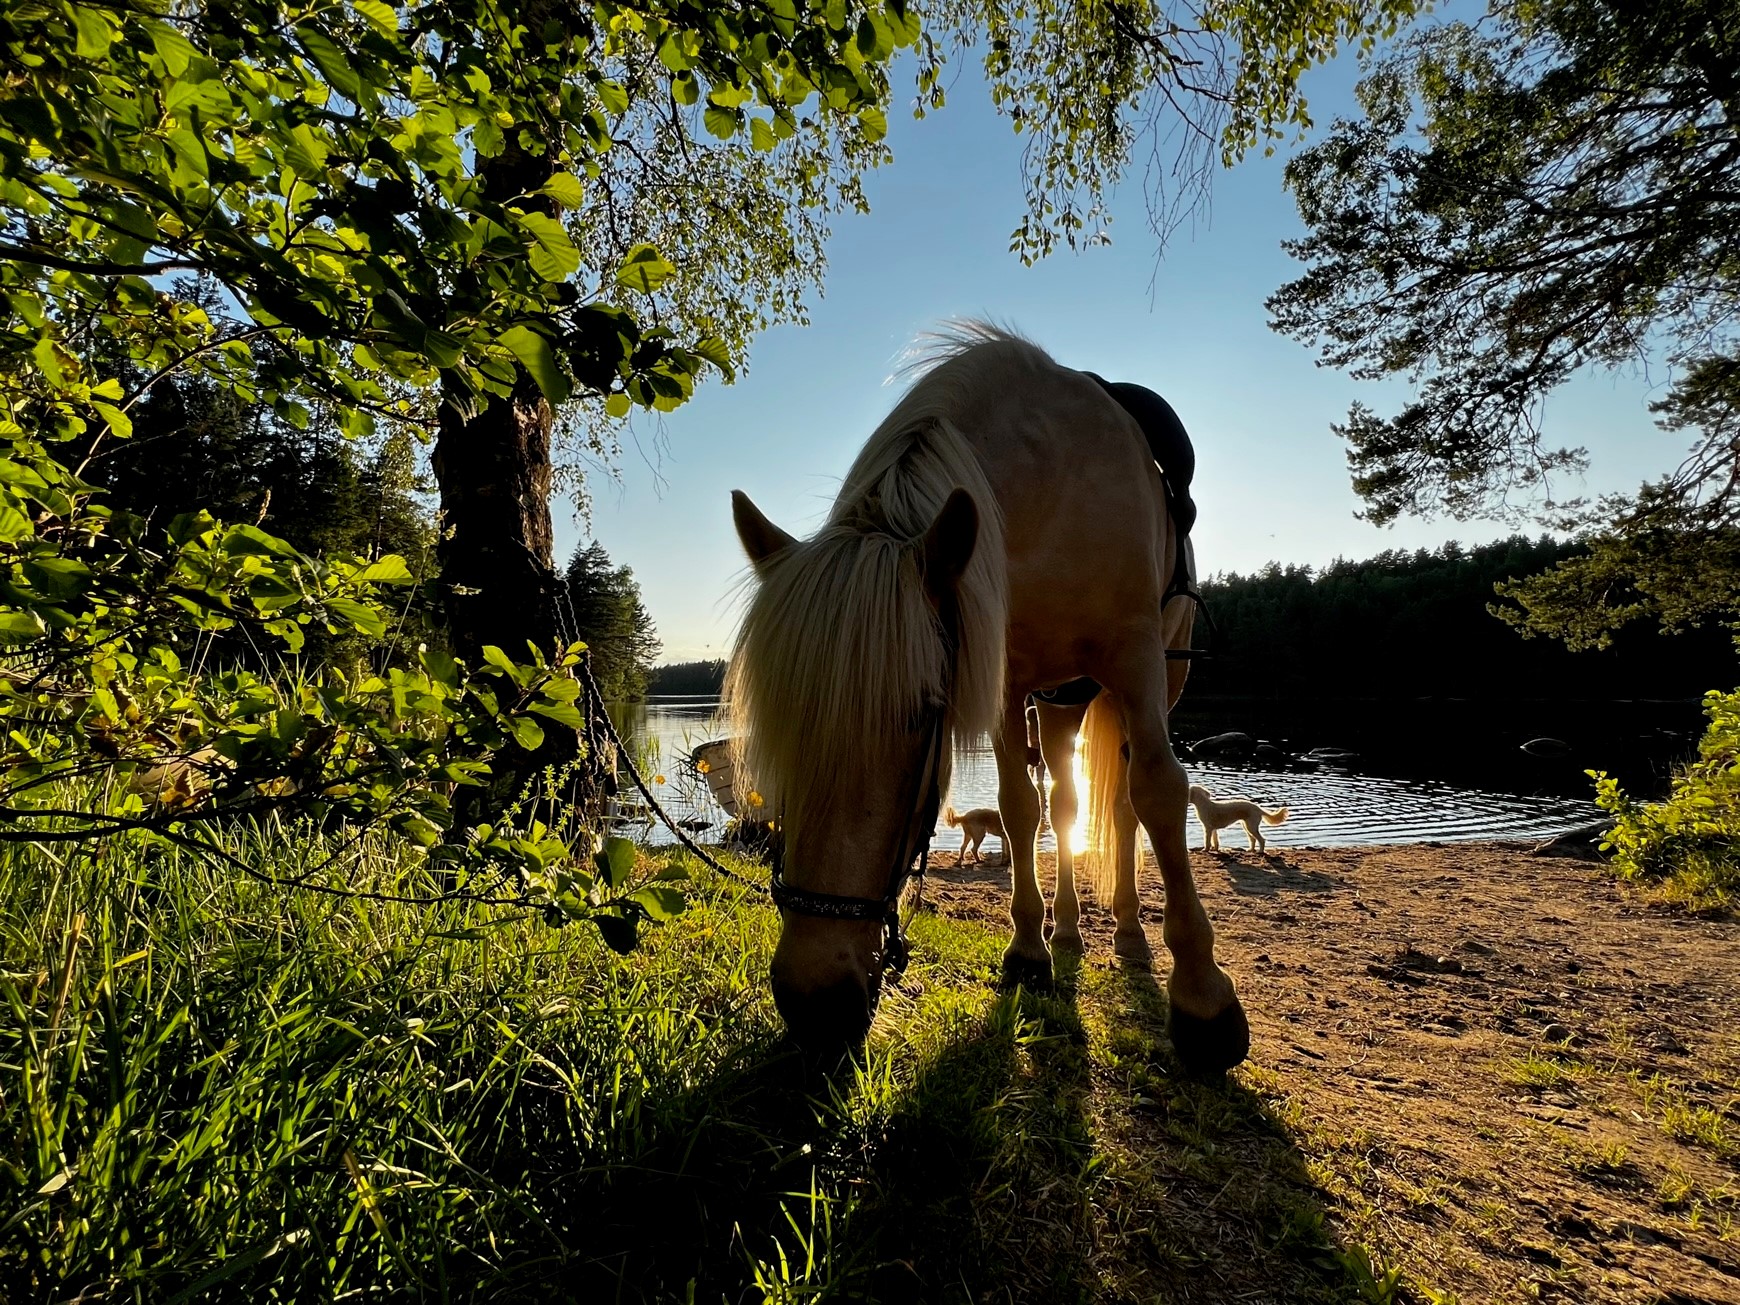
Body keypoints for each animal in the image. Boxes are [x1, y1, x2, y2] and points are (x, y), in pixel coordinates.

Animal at [723, 325, 1252, 1071]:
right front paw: (1029, 951)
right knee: (1065, 800)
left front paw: (1204, 1000)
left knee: (1124, 805)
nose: (815, 1006)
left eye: (921, 715)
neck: (1052, 492)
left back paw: (1127, 932)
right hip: (1058, 703)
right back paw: (1067, 934)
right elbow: (1018, 807)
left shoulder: (1137, 660)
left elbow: (1157, 792)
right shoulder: (1006, 681)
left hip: (1144, 682)